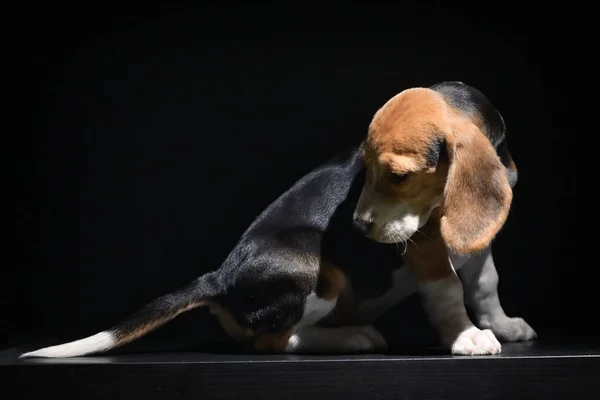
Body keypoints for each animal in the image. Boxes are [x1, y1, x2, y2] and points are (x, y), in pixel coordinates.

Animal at [18, 81, 536, 360]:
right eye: (364, 168)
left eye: (397, 176)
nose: (358, 228)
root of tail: (218, 278)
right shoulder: (425, 245)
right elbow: (448, 290)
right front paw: (467, 336)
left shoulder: (472, 244)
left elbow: (484, 283)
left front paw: (503, 325)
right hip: (316, 269)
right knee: (277, 340)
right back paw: (352, 337)